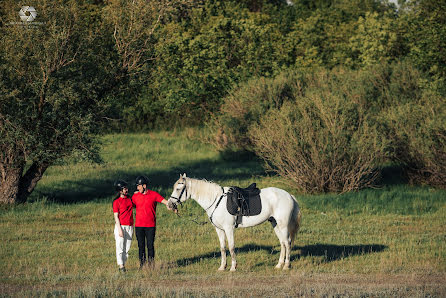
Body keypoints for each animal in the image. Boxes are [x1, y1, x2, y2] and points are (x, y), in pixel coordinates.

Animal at [168, 173, 304, 272]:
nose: (169, 204)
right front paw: (222, 267)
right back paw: (279, 265)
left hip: (283, 225)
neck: (216, 200)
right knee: (283, 243)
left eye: (178, 188)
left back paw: (286, 266)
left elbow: (232, 247)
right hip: (275, 224)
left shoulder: (229, 228)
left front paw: (233, 267)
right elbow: (223, 248)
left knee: (288, 242)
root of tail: (289, 195)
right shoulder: (219, 229)